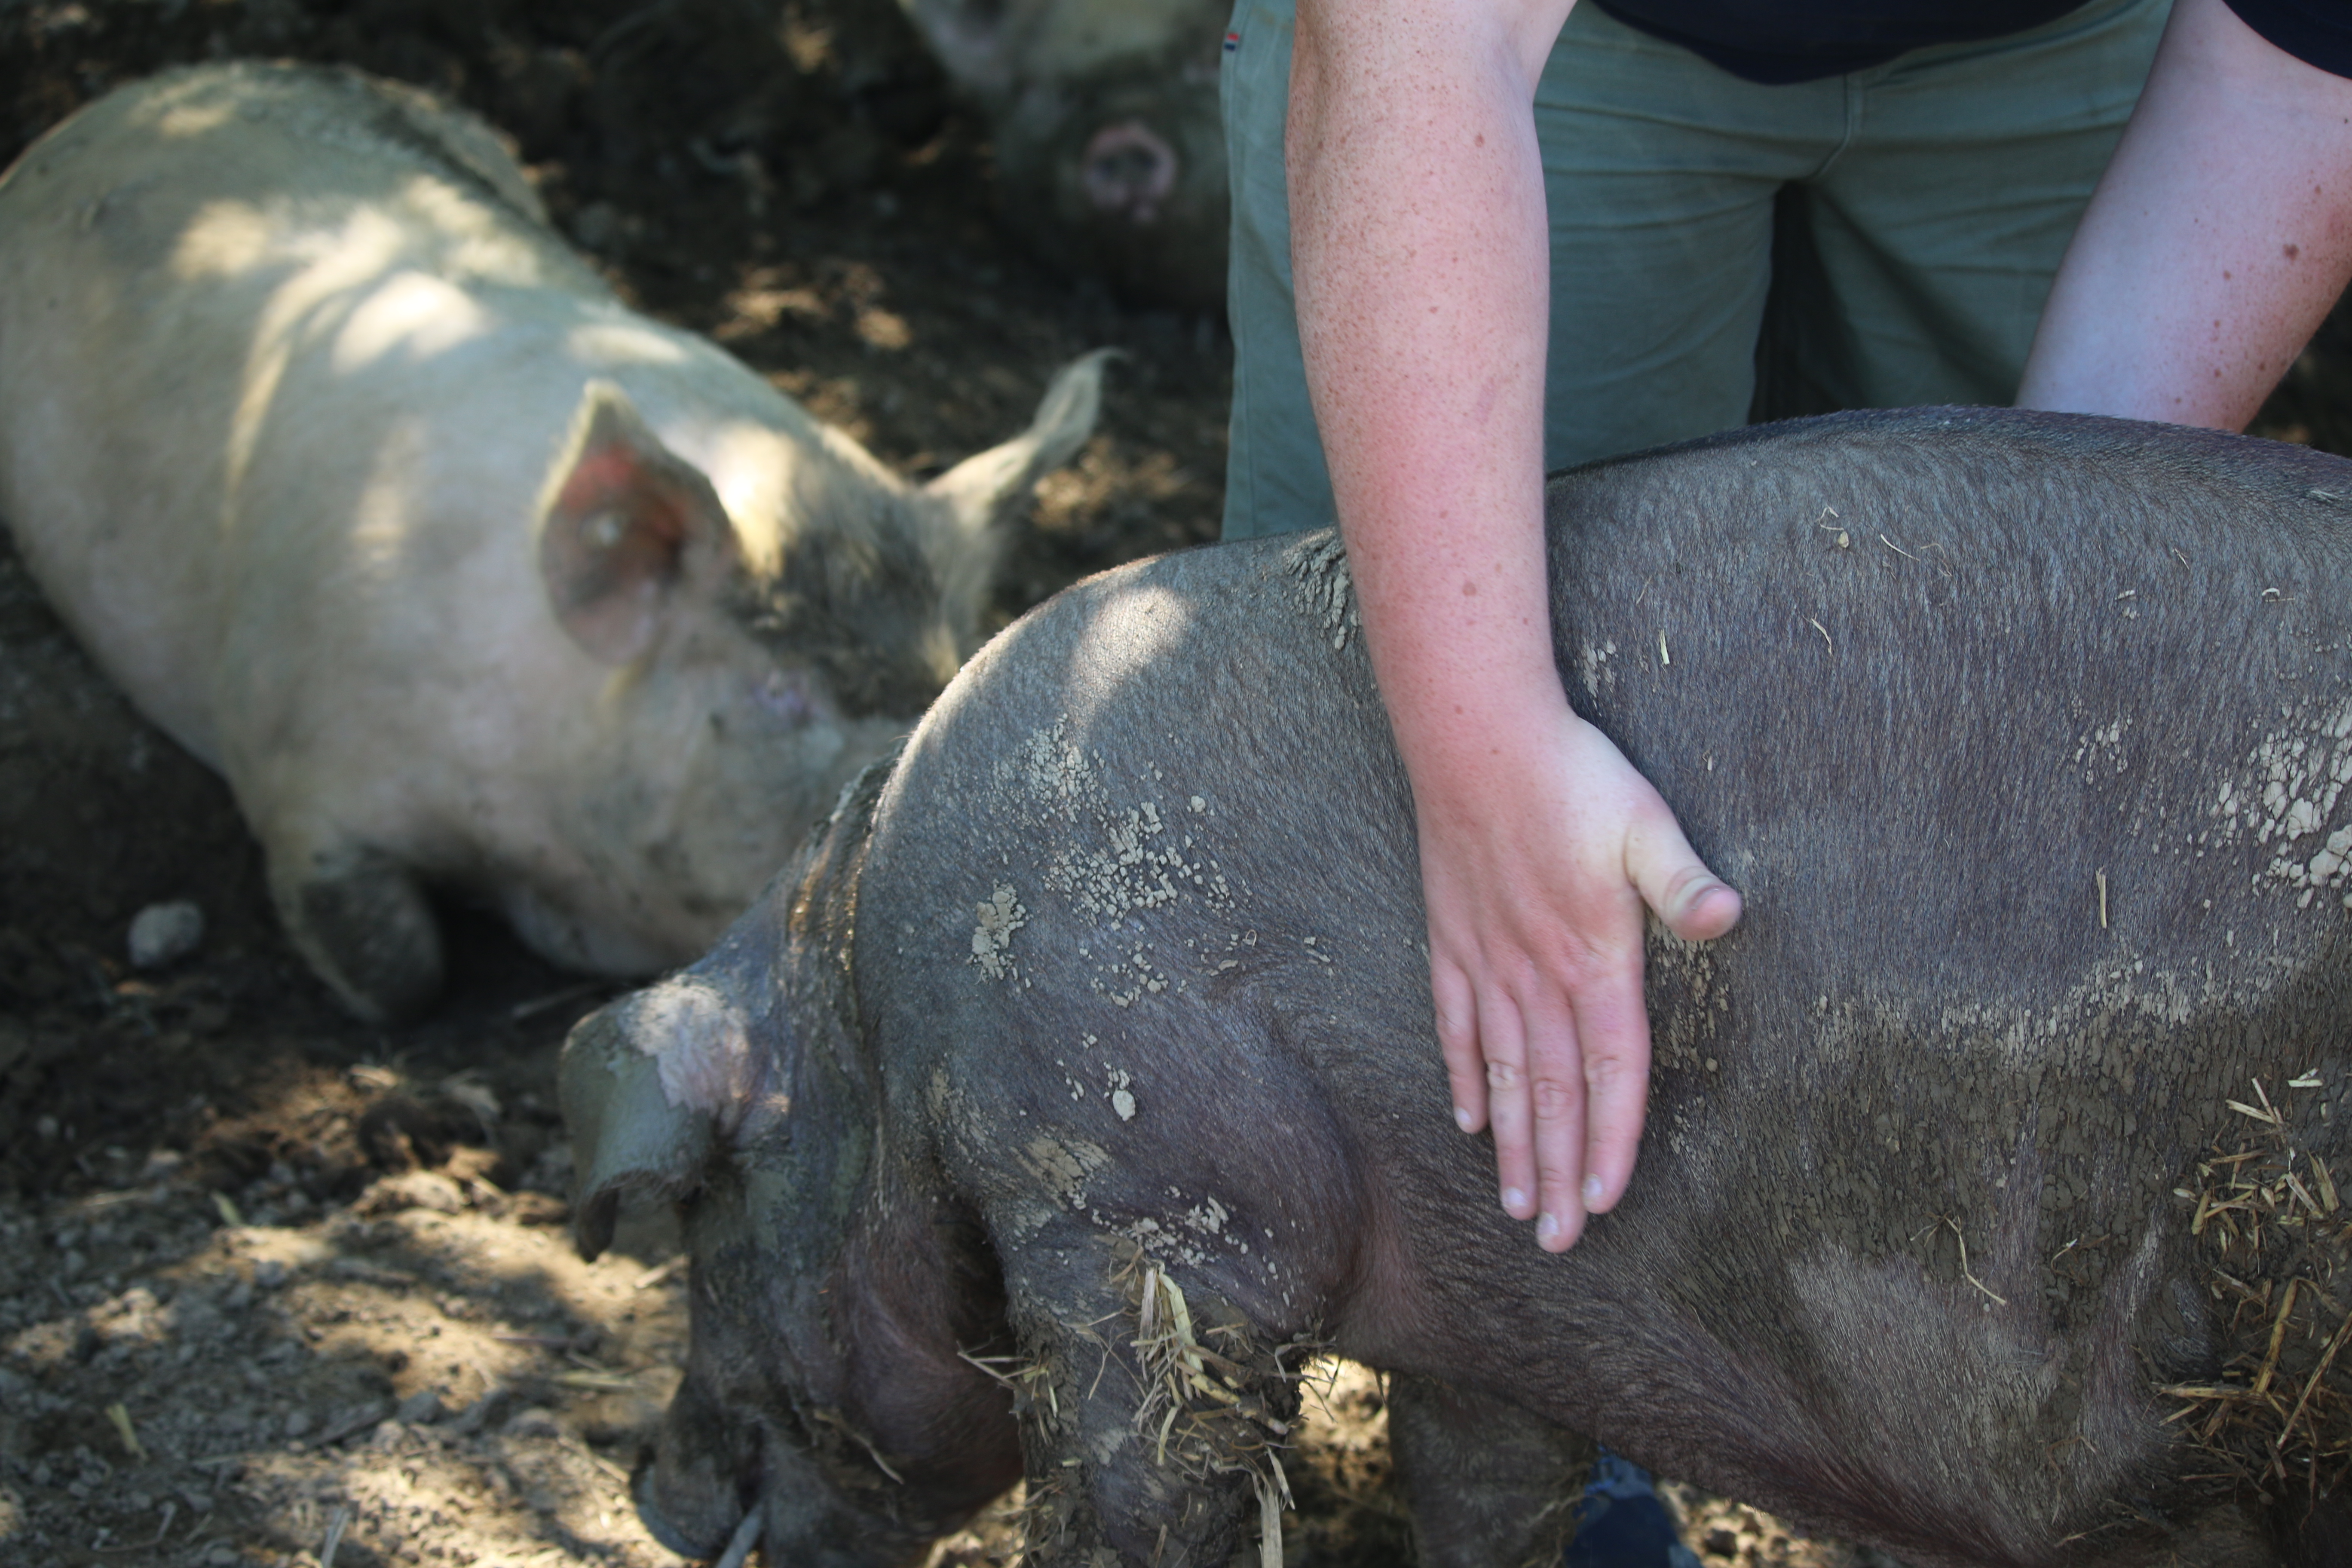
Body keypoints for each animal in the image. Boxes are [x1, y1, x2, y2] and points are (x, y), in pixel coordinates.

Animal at [564, 409, 2352, 1568]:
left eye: (703, 1206)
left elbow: (1145, 1484)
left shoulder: (1142, 1205)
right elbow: (1483, 1492)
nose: (647, 1494)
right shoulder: (1495, 1318)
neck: (872, 1004)